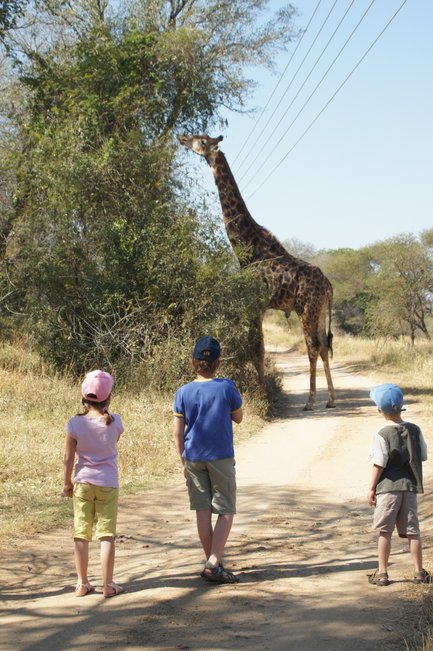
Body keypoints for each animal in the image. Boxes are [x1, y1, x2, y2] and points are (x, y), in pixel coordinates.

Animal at [179, 134, 336, 410]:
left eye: (202, 140)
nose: (183, 137)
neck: (248, 247)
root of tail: (328, 286)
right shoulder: (259, 308)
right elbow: (257, 347)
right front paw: (262, 389)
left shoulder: (254, 305)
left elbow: (257, 348)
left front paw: (262, 392)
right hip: (321, 311)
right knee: (325, 346)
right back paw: (332, 399)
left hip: (307, 309)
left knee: (313, 346)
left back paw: (310, 401)